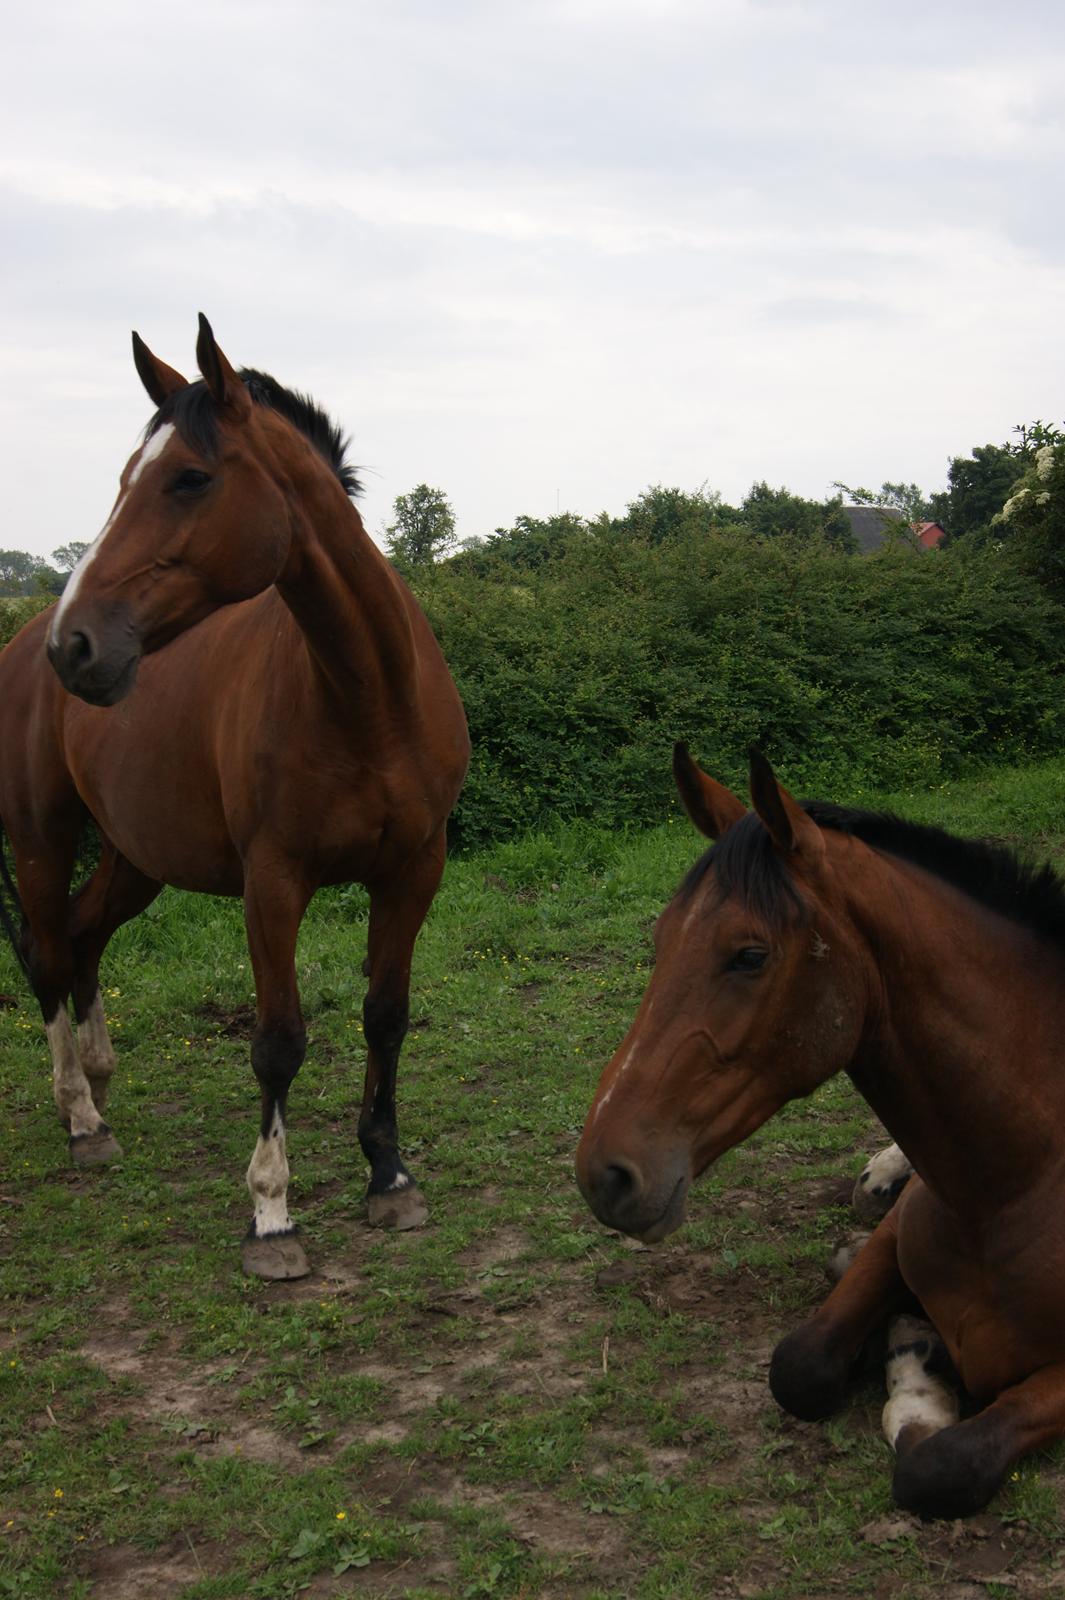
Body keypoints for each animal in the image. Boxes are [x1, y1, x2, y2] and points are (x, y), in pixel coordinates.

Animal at [0, 318, 466, 1280]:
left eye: (189, 477)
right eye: (124, 479)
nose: (78, 645)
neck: (367, 697)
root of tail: (19, 645)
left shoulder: (414, 868)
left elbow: (386, 1017)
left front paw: (390, 1178)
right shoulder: (273, 882)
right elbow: (278, 1042)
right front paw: (272, 1216)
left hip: (134, 858)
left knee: (83, 936)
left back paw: (100, 1079)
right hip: (40, 839)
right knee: (50, 952)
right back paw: (82, 1118)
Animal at [575, 742, 1061, 1516]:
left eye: (750, 954)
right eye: (660, 938)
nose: (605, 1175)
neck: (1019, 1184)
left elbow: (942, 1466)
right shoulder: (893, 1244)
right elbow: (797, 1367)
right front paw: (910, 1351)